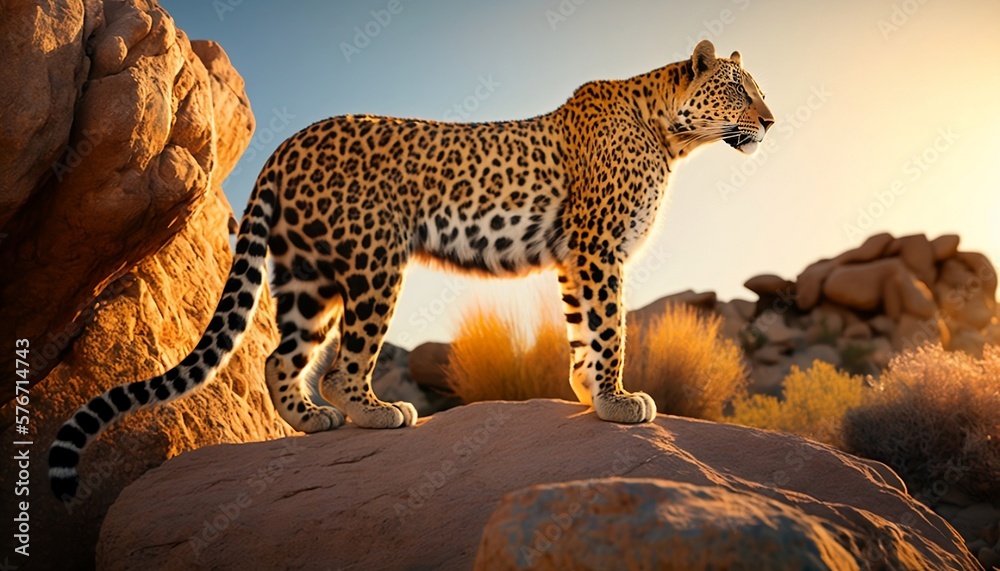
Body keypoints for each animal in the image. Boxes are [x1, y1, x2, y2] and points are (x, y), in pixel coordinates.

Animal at [49, 40, 773, 500]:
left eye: (758, 92)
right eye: (739, 89)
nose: (769, 121)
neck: (672, 136)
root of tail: (286, 142)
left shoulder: (575, 256)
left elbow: (581, 331)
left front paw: (590, 391)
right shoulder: (598, 249)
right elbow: (610, 328)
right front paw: (620, 401)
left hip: (308, 274)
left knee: (279, 356)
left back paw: (309, 421)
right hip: (375, 261)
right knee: (342, 363)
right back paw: (380, 413)